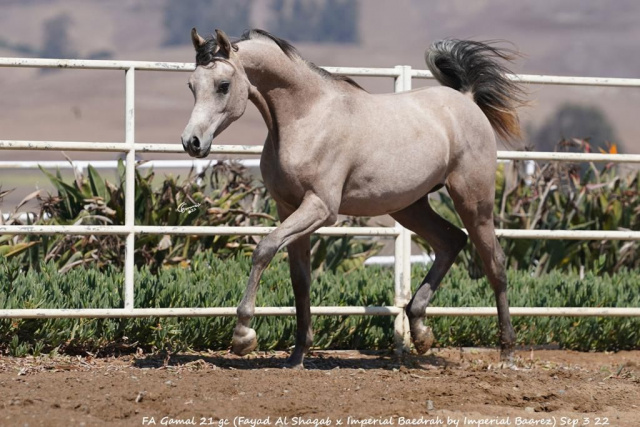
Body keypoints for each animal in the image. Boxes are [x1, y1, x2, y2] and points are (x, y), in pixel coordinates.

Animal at [180, 28, 524, 370]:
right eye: (191, 85)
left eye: (223, 85)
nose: (191, 142)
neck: (306, 117)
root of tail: (466, 98)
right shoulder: (287, 208)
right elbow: (300, 279)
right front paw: (297, 355)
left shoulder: (320, 207)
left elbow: (263, 250)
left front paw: (243, 336)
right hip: (410, 207)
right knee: (451, 241)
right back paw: (421, 332)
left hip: (474, 202)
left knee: (495, 263)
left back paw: (507, 350)